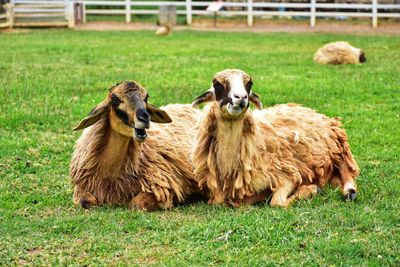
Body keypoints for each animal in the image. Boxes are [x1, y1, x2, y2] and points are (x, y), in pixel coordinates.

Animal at [70, 81, 202, 211]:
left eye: (146, 98)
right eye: (115, 99)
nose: (145, 118)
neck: (110, 176)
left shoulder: (162, 187)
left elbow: (136, 204)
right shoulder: (83, 190)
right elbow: (84, 201)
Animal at [191, 68, 360, 207]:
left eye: (249, 84)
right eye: (217, 84)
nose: (241, 97)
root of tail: (312, 110)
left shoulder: (287, 174)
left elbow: (276, 202)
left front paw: (311, 190)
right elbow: (229, 202)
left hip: (337, 147)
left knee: (346, 169)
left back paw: (349, 192)